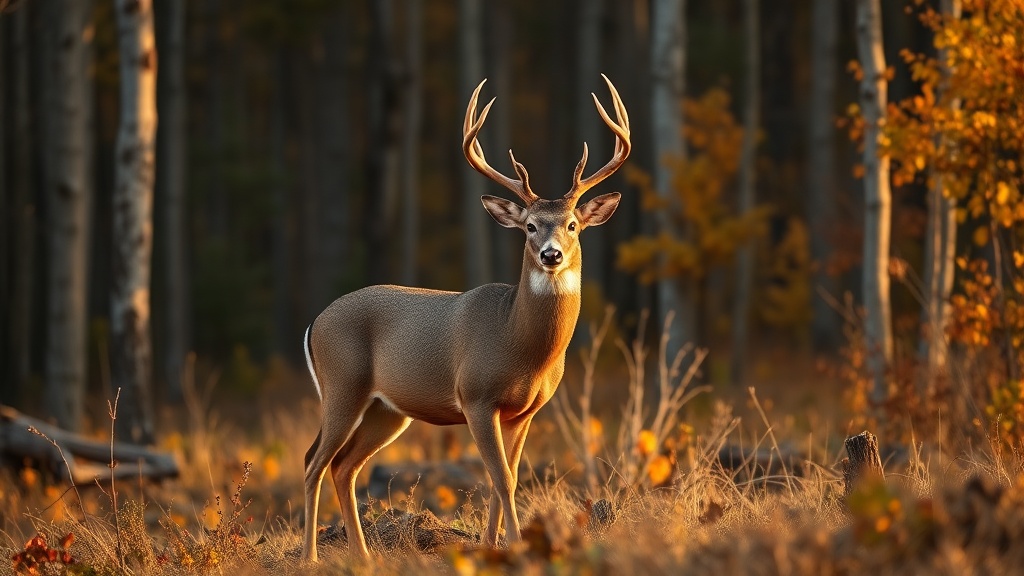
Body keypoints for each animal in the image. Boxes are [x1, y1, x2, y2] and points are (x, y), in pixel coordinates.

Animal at [301, 74, 630, 561]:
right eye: (530, 226)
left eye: (572, 224)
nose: (551, 255)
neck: (518, 343)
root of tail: (315, 323)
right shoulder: (476, 396)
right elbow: (502, 478)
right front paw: (516, 546)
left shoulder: (525, 410)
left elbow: (506, 478)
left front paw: (494, 546)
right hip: (342, 385)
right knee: (313, 463)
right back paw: (309, 556)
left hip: (386, 409)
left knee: (344, 466)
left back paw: (364, 556)